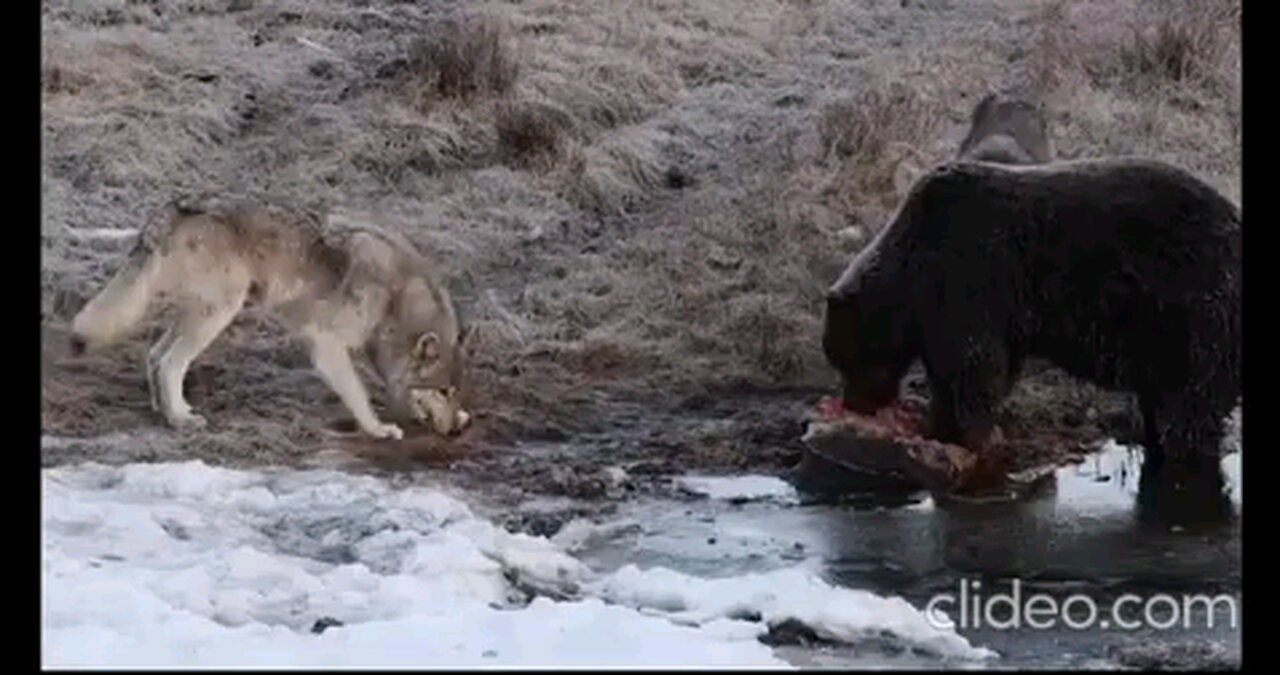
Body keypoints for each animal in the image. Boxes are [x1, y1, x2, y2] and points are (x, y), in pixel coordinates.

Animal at [829, 160, 1239, 491]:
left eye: (844, 359)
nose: (853, 403)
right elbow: (973, 367)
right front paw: (942, 426)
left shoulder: (968, 276)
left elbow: (972, 365)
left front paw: (966, 433)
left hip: (1190, 306)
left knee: (1189, 403)